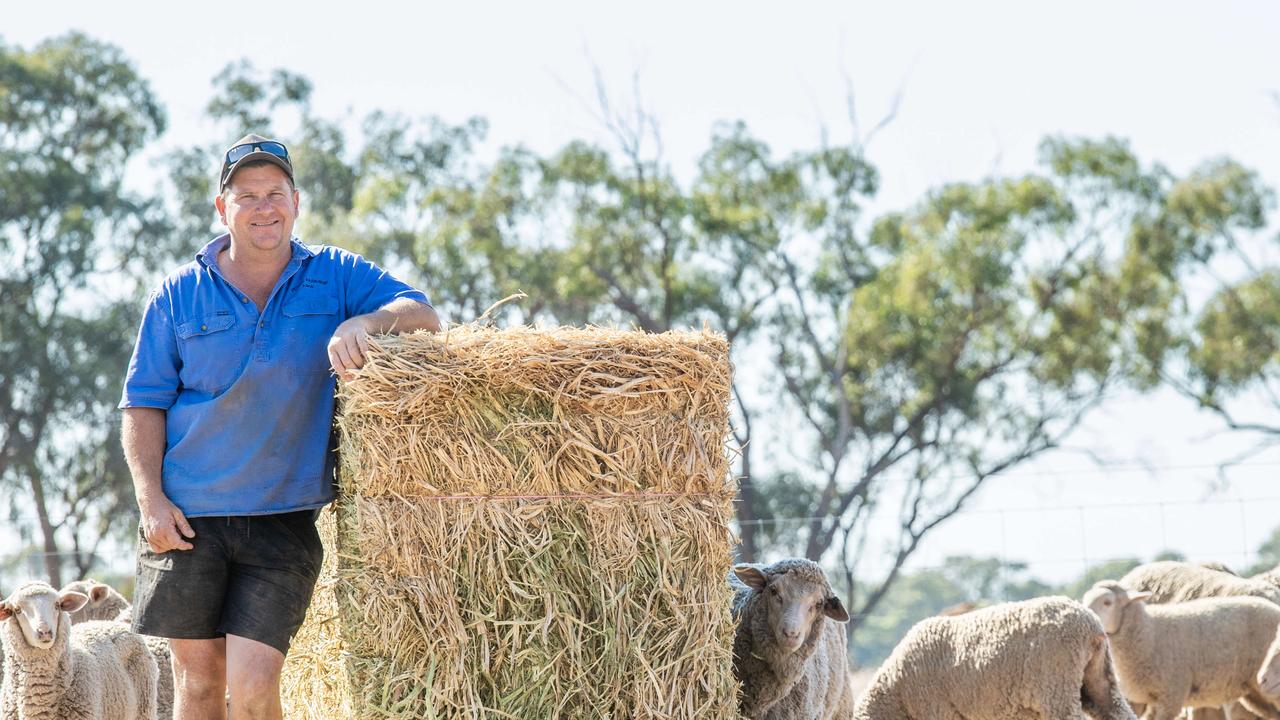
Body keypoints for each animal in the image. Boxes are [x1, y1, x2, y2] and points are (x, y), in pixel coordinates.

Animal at [1085, 576, 1280, 717]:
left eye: (1107, 602)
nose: (1089, 618)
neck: (1149, 632)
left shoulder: (1171, 696)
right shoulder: (1139, 700)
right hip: (1255, 693)